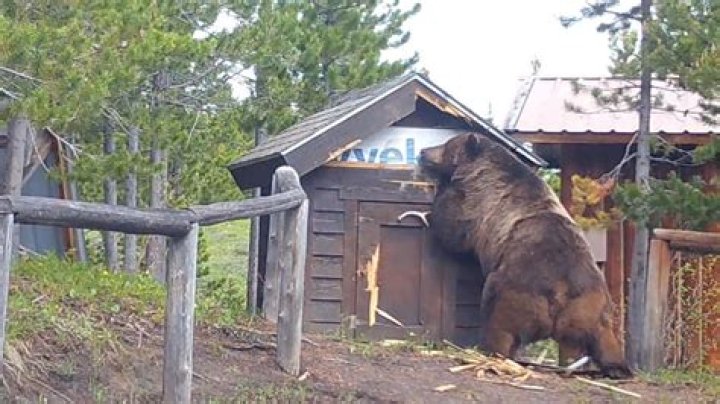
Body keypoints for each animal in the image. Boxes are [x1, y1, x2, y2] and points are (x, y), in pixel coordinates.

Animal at [417, 132, 632, 379]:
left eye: (445, 145)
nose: (423, 151)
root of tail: (560, 291)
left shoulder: (476, 204)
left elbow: (452, 228)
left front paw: (435, 200)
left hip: (515, 289)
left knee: (498, 320)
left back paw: (490, 351)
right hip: (591, 302)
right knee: (604, 335)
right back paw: (618, 367)